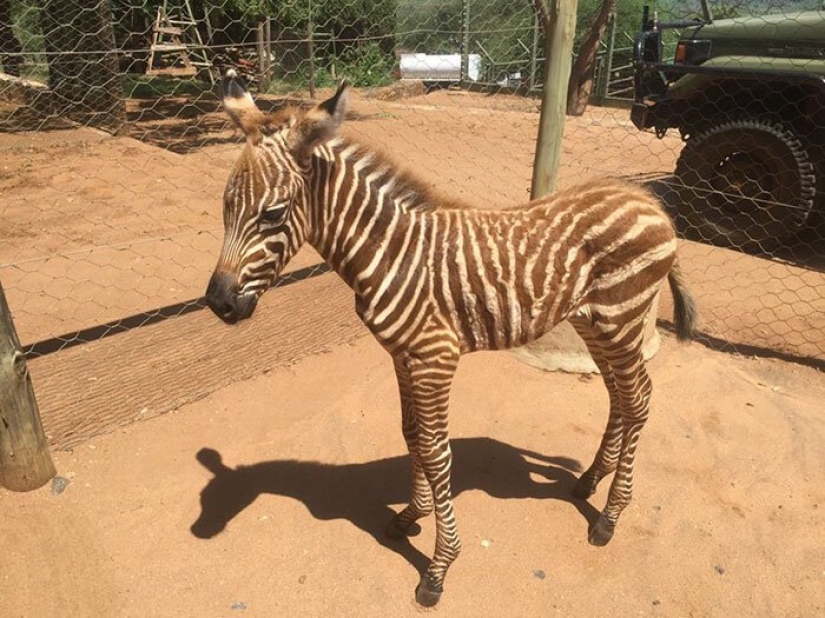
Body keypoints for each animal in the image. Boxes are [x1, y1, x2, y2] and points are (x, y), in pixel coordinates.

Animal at [205, 70, 697, 607]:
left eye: (273, 214)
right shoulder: (403, 356)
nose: (218, 303)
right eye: (225, 205)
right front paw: (410, 516)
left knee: (639, 399)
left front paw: (440, 568)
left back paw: (609, 517)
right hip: (597, 323)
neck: (390, 252)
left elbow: (437, 452)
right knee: (620, 398)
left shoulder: (435, 358)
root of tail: (649, 202)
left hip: (621, 318)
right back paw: (588, 483)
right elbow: (412, 435)